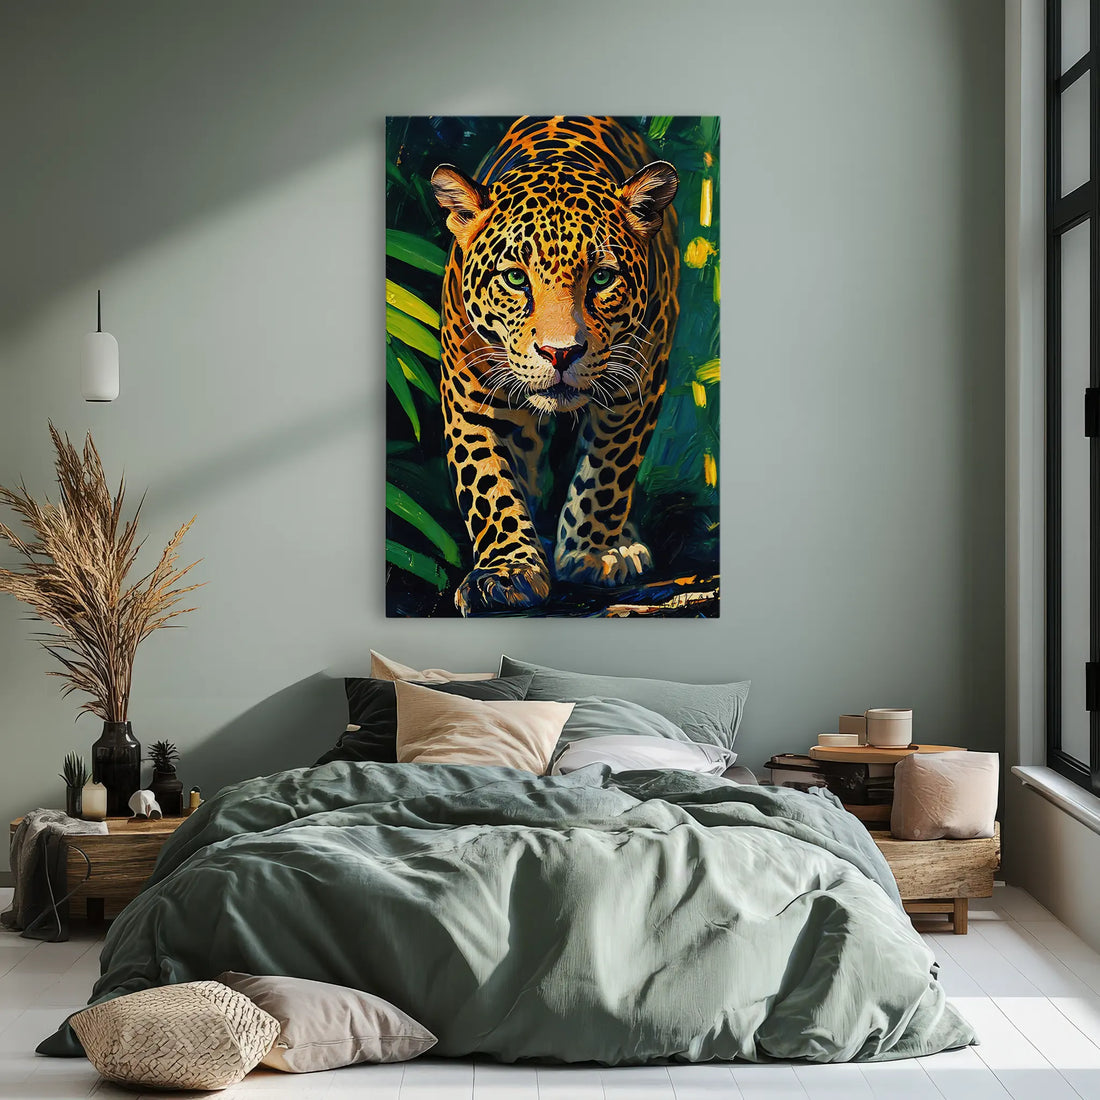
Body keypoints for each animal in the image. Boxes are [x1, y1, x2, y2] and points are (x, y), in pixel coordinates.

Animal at [430, 115, 680, 615]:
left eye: (601, 278)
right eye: (514, 278)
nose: (560, 353)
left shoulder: (637, 386)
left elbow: (607, 472)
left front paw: (589, 555)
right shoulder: (469, 396)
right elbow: (488, 483)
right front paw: (508, 571)